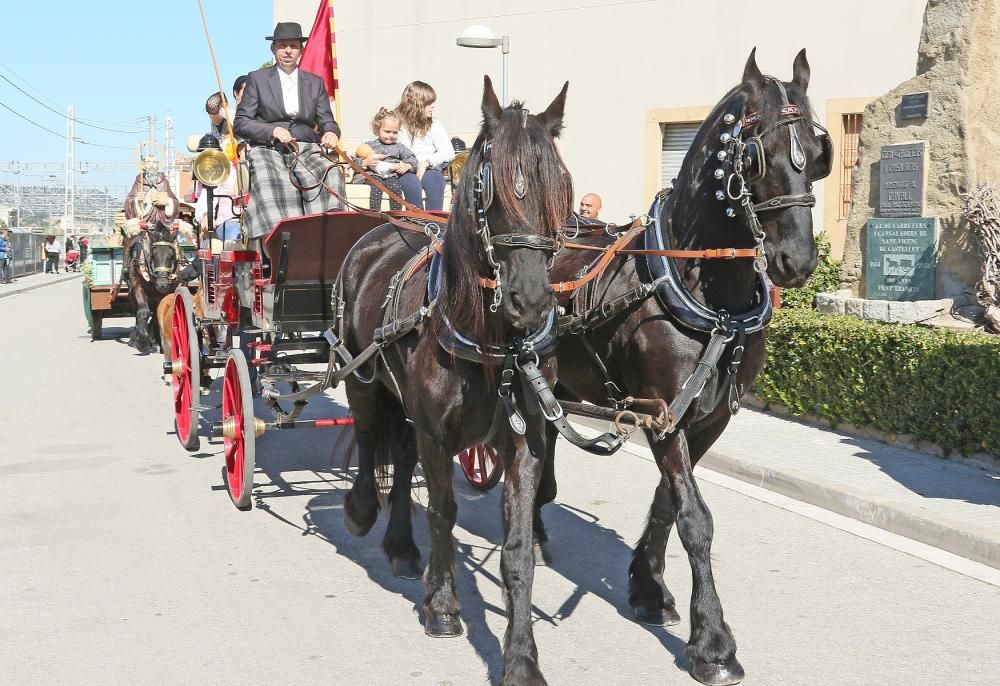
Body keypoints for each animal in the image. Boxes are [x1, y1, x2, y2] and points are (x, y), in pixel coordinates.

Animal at [338, 76, 572, 686]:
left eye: (561, 189)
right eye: (492, 189)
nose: (530, 301)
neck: (493, 344)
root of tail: (380, 231)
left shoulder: (524, 442)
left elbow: (517, 549)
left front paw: (521, 657)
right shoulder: (439, 434)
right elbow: (444, 512)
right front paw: (442, 606)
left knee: (400, 458)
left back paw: (400, 545)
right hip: (363, 376)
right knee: (371, 438)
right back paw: (360, 512)